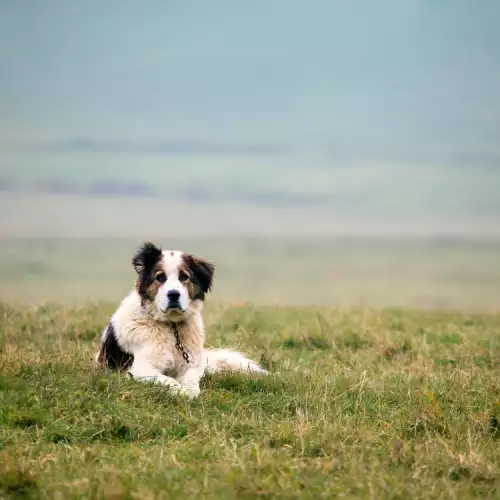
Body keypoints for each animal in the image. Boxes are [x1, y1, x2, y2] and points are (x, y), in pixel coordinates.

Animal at [93, 242, 266, 398]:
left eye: (184, 276)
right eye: (160, 277)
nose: (173, 294)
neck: (172, 327)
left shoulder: (192, 364)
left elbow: (191, 382)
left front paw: (189, 392)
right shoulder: (140, 369)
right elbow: (167, 380)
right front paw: (180, 391)